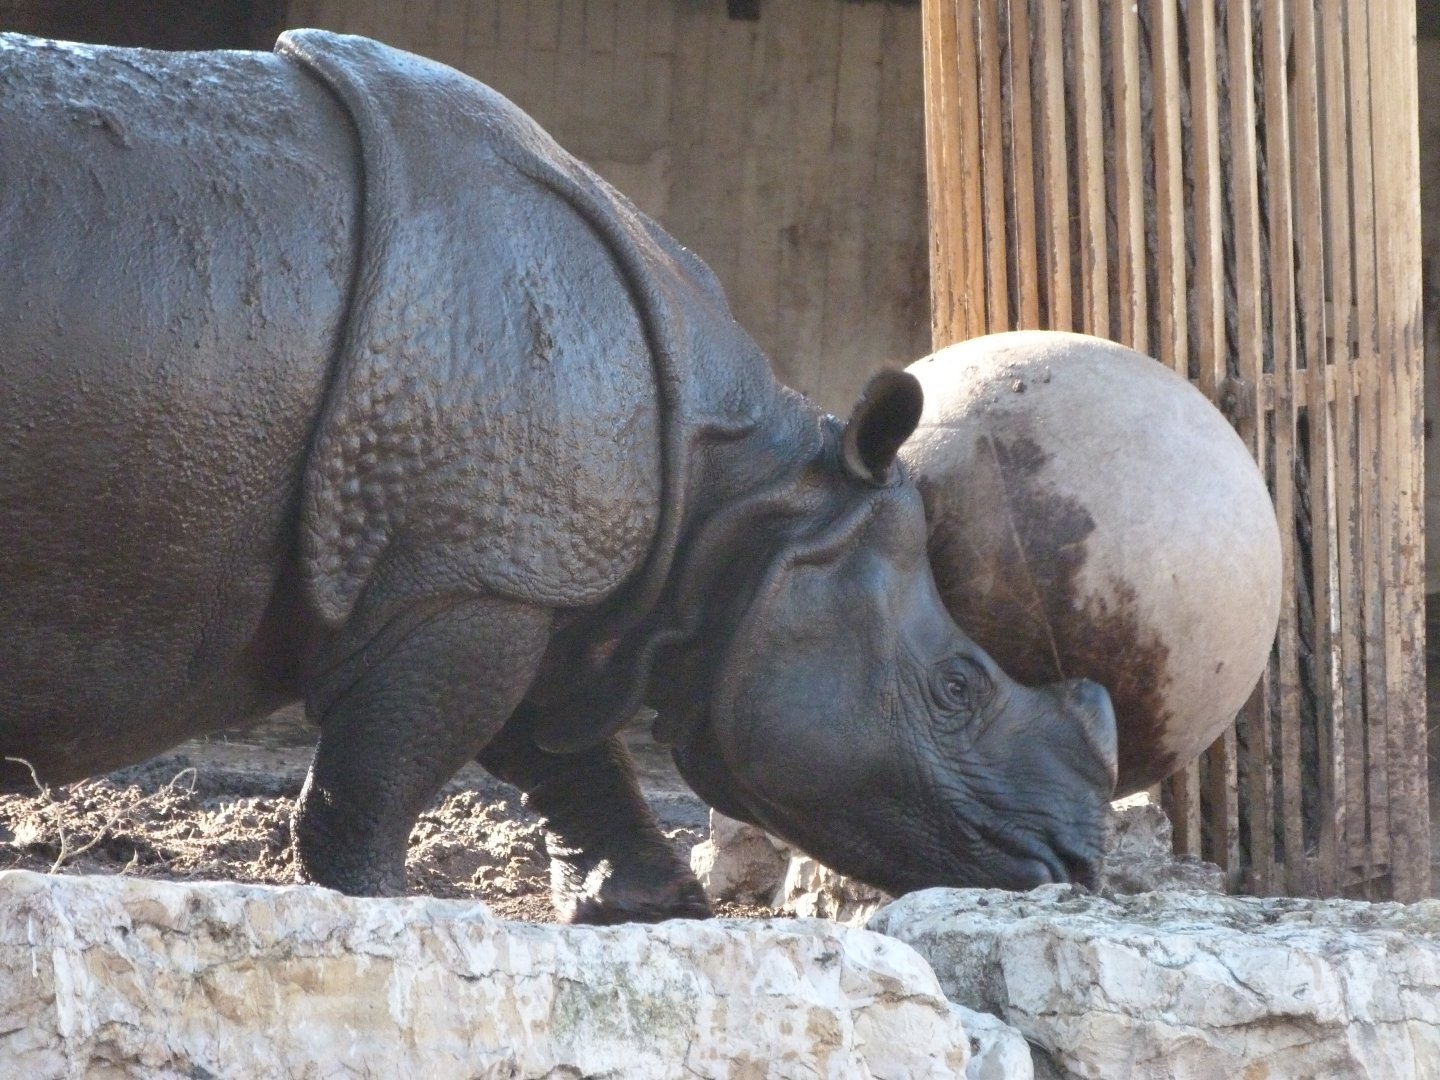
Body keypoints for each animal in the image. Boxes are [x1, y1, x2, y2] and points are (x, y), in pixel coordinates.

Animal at [0, 30, 1117, 922]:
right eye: (956, 686)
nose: (1078, 862)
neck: (744, 490)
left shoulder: (526, 560)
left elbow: (560, 745)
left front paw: (647, 908)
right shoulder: (469, 572)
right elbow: (393, 765)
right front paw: (379, 909)